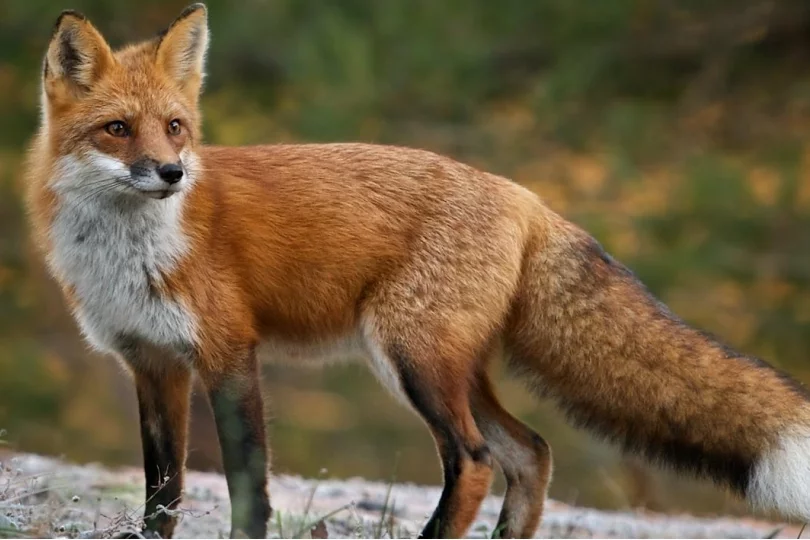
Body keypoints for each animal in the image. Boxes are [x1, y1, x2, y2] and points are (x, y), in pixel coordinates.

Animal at [22, 2, 808, 536]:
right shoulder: (151, 363)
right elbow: (161, 494)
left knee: (478, 460)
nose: (173, 173)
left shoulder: (228, 352)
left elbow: (248, 486)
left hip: (412, 360)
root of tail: (525, 197)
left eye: (176, 126)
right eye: (117, 129)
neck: (130, 255)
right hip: (445, 367)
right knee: (532, 453)